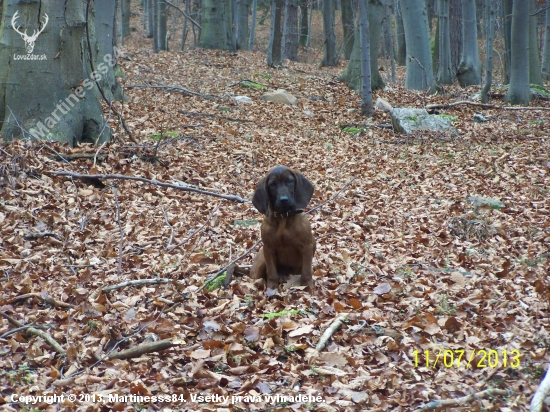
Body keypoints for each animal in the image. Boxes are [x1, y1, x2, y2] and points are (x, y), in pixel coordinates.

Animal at [252, 166, 316, 294]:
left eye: (290, 181)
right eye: (272, 184)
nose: (284, 200)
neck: (283, 218)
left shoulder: (307, 246)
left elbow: (306, 272)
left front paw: (308, 287)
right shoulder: (268, 248)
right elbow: (272, 272)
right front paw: (272, 288)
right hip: (262, 259)